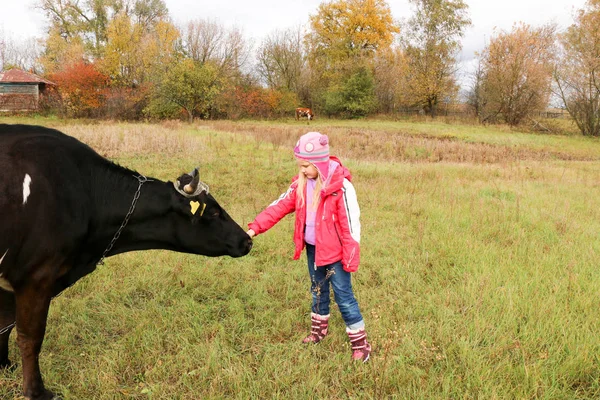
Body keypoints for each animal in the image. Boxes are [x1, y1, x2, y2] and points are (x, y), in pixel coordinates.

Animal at [0, 123, 252, 398]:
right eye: (214, 212)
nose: (247, 240)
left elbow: (5, 325)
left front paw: (4, 365)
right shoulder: (37, 275)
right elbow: (30, 336)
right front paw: (35, 391)